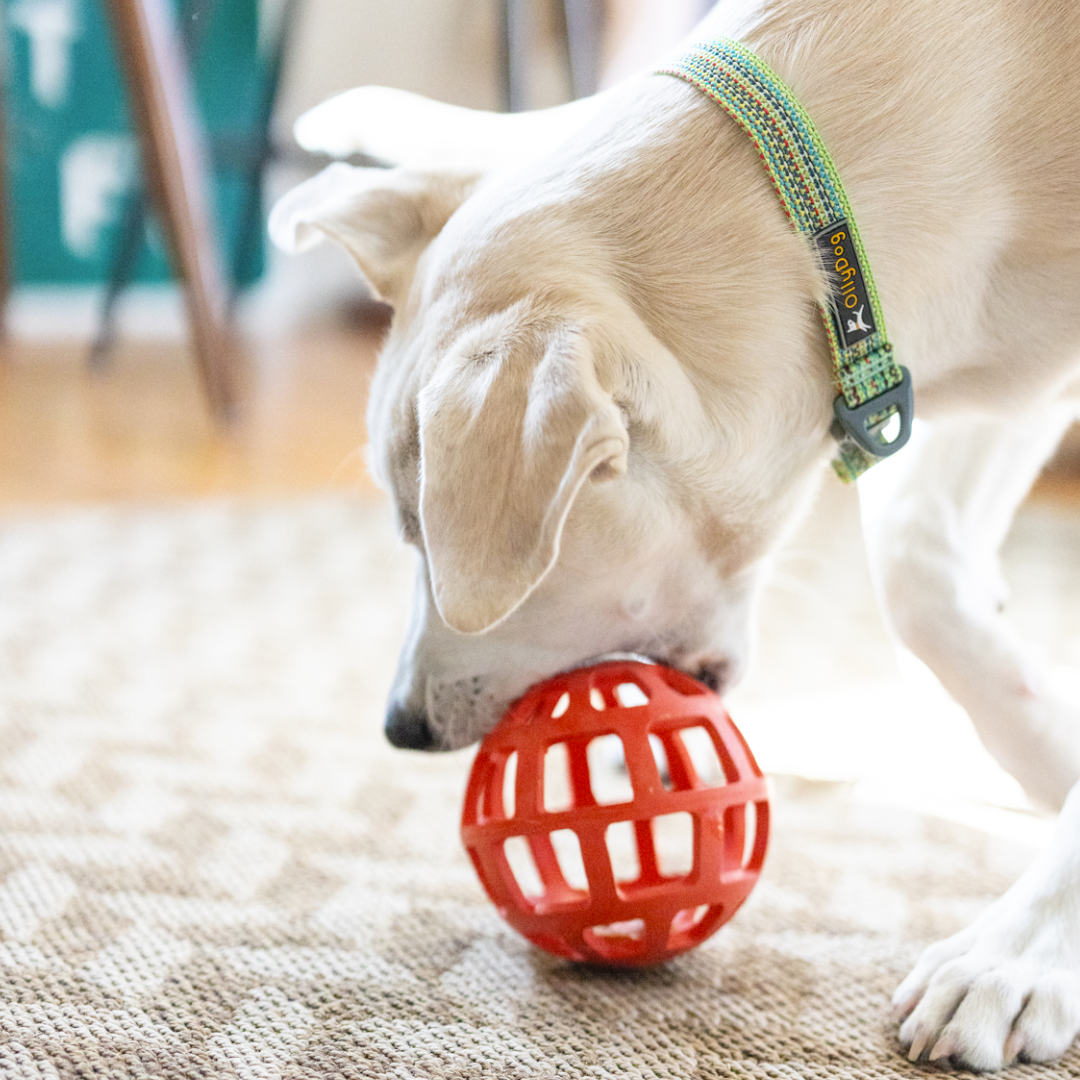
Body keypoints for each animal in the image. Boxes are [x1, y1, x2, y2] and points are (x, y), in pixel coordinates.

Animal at [272, 0, 1080, 1067]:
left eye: (427, 530)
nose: (400, 728)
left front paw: (1018, 952)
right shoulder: (996, 365)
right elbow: (919, 581)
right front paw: (1045, 747)